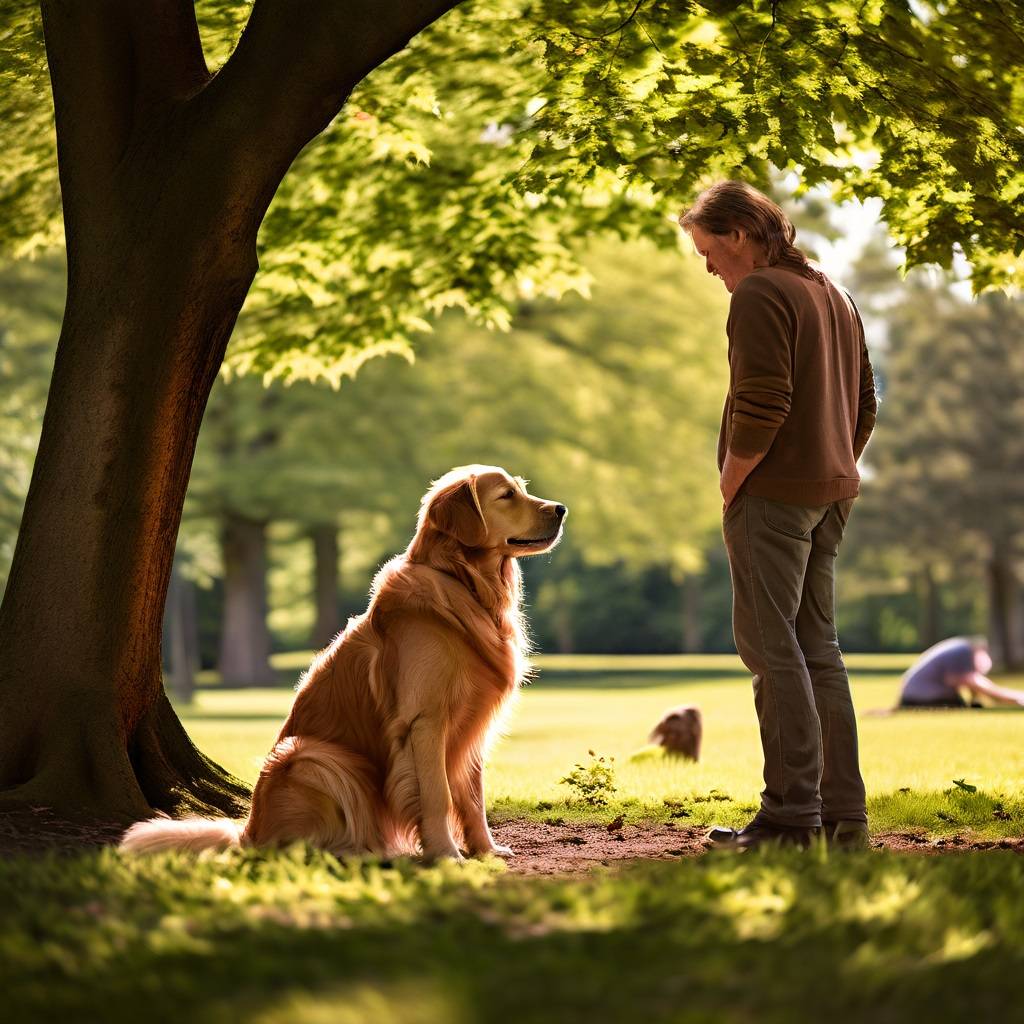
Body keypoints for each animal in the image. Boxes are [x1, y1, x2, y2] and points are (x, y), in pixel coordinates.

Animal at [124, 468, 569, 860]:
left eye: (522, 488)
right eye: (507, 495)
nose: (562, 508)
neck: (461, 582)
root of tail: (249, 830)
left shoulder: (472, 726)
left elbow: (474, 799)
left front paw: (486, 850)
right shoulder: (424, 720)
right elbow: (438, 796)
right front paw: (446, 855)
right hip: (313, 757)